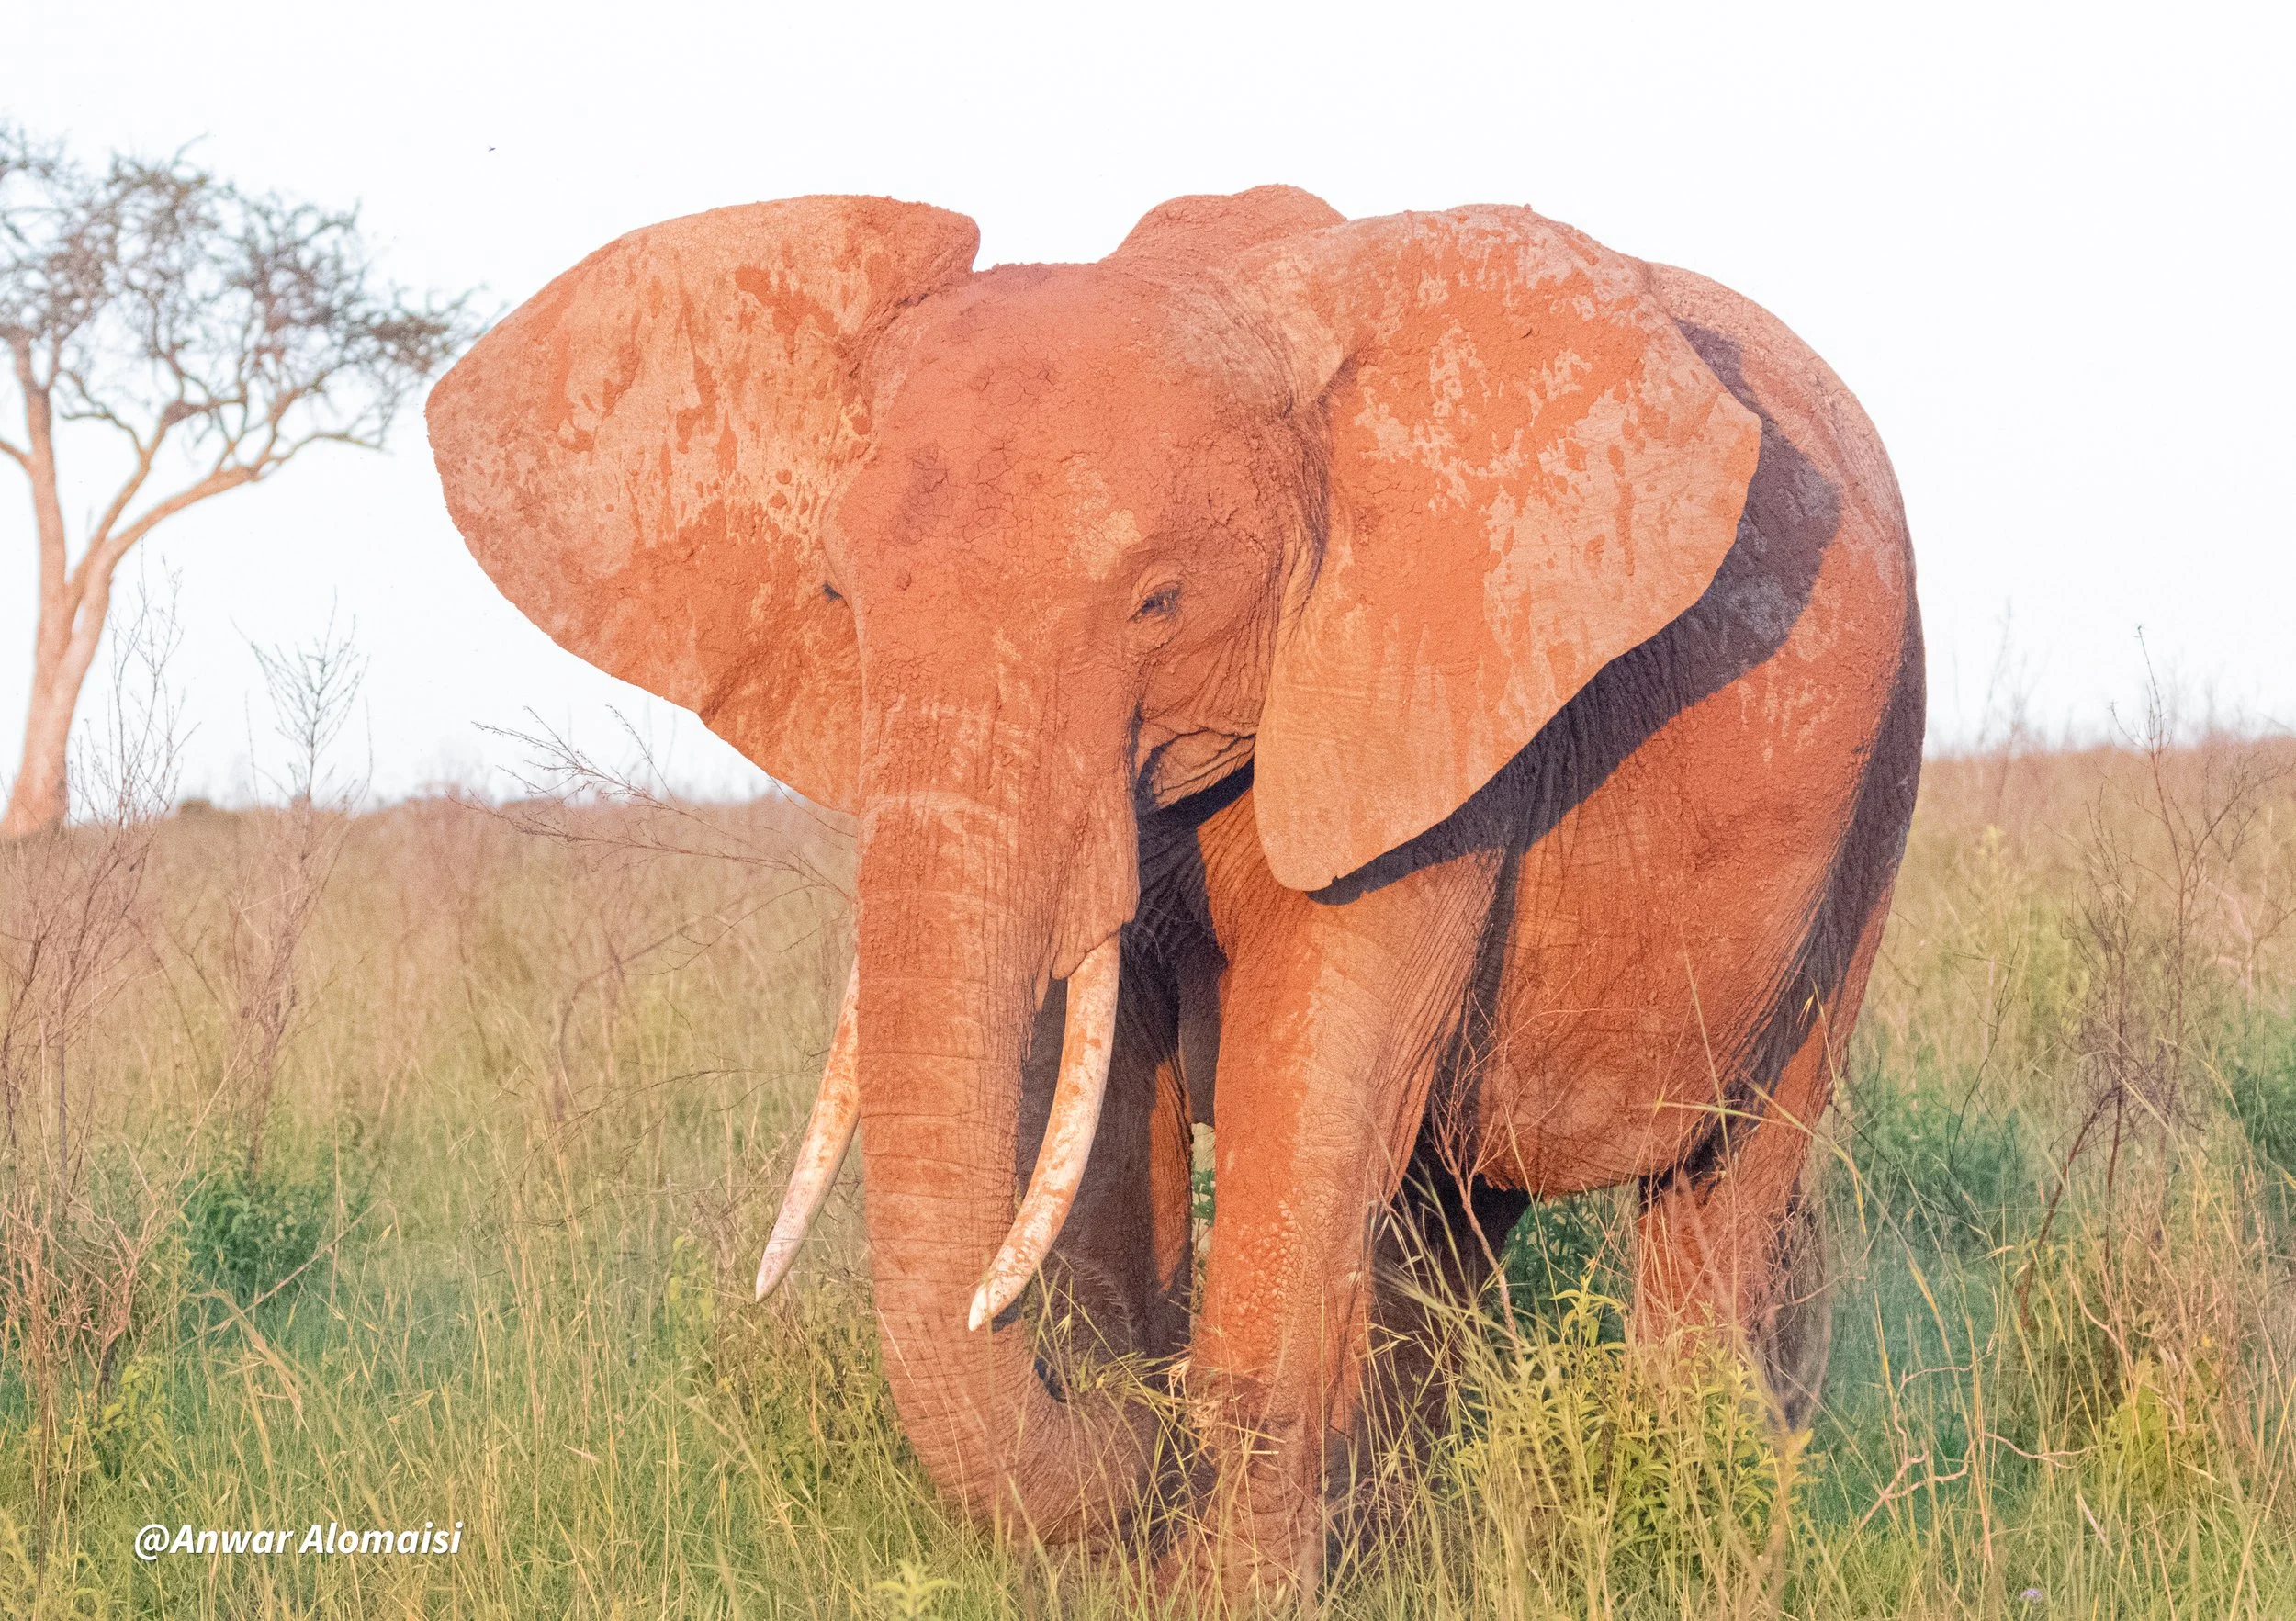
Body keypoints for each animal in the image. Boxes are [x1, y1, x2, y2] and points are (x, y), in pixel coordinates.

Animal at [426, 185, 1922, 1600]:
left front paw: (1214, 1577)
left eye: (1158, 601)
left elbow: (1301, 1091)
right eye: (839, 598)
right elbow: (1093, 1093)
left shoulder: (1414, 708)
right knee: (1442, 1221)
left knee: (1730, 1187)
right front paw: (1125, 1536)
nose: (1127, 1416)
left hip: (1878, 788)